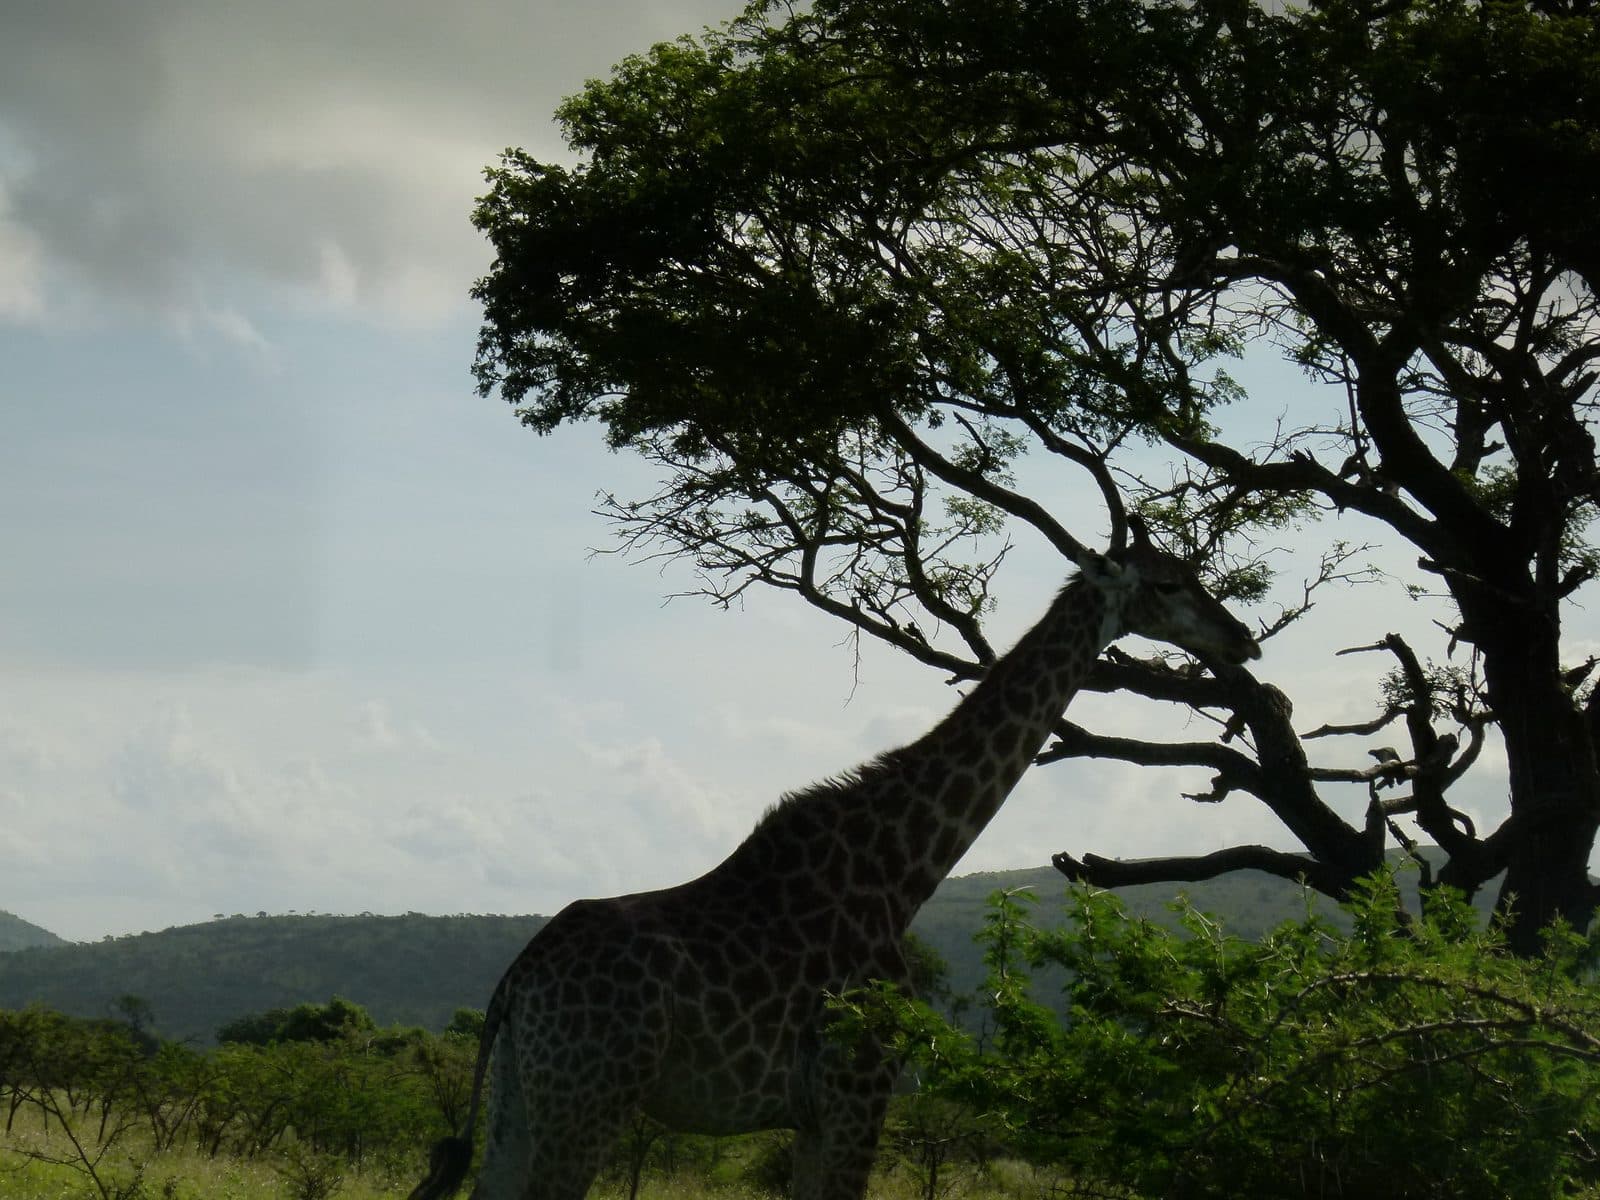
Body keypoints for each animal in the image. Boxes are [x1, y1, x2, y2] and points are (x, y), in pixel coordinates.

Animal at [408, 523, 1260, 1200]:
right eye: (1169, 582)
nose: (1243, 638)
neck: (901, 867)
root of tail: (518, 979)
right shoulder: (859, 1089)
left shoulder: (816, 1113)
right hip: (588, 1101)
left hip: (523, 1102)